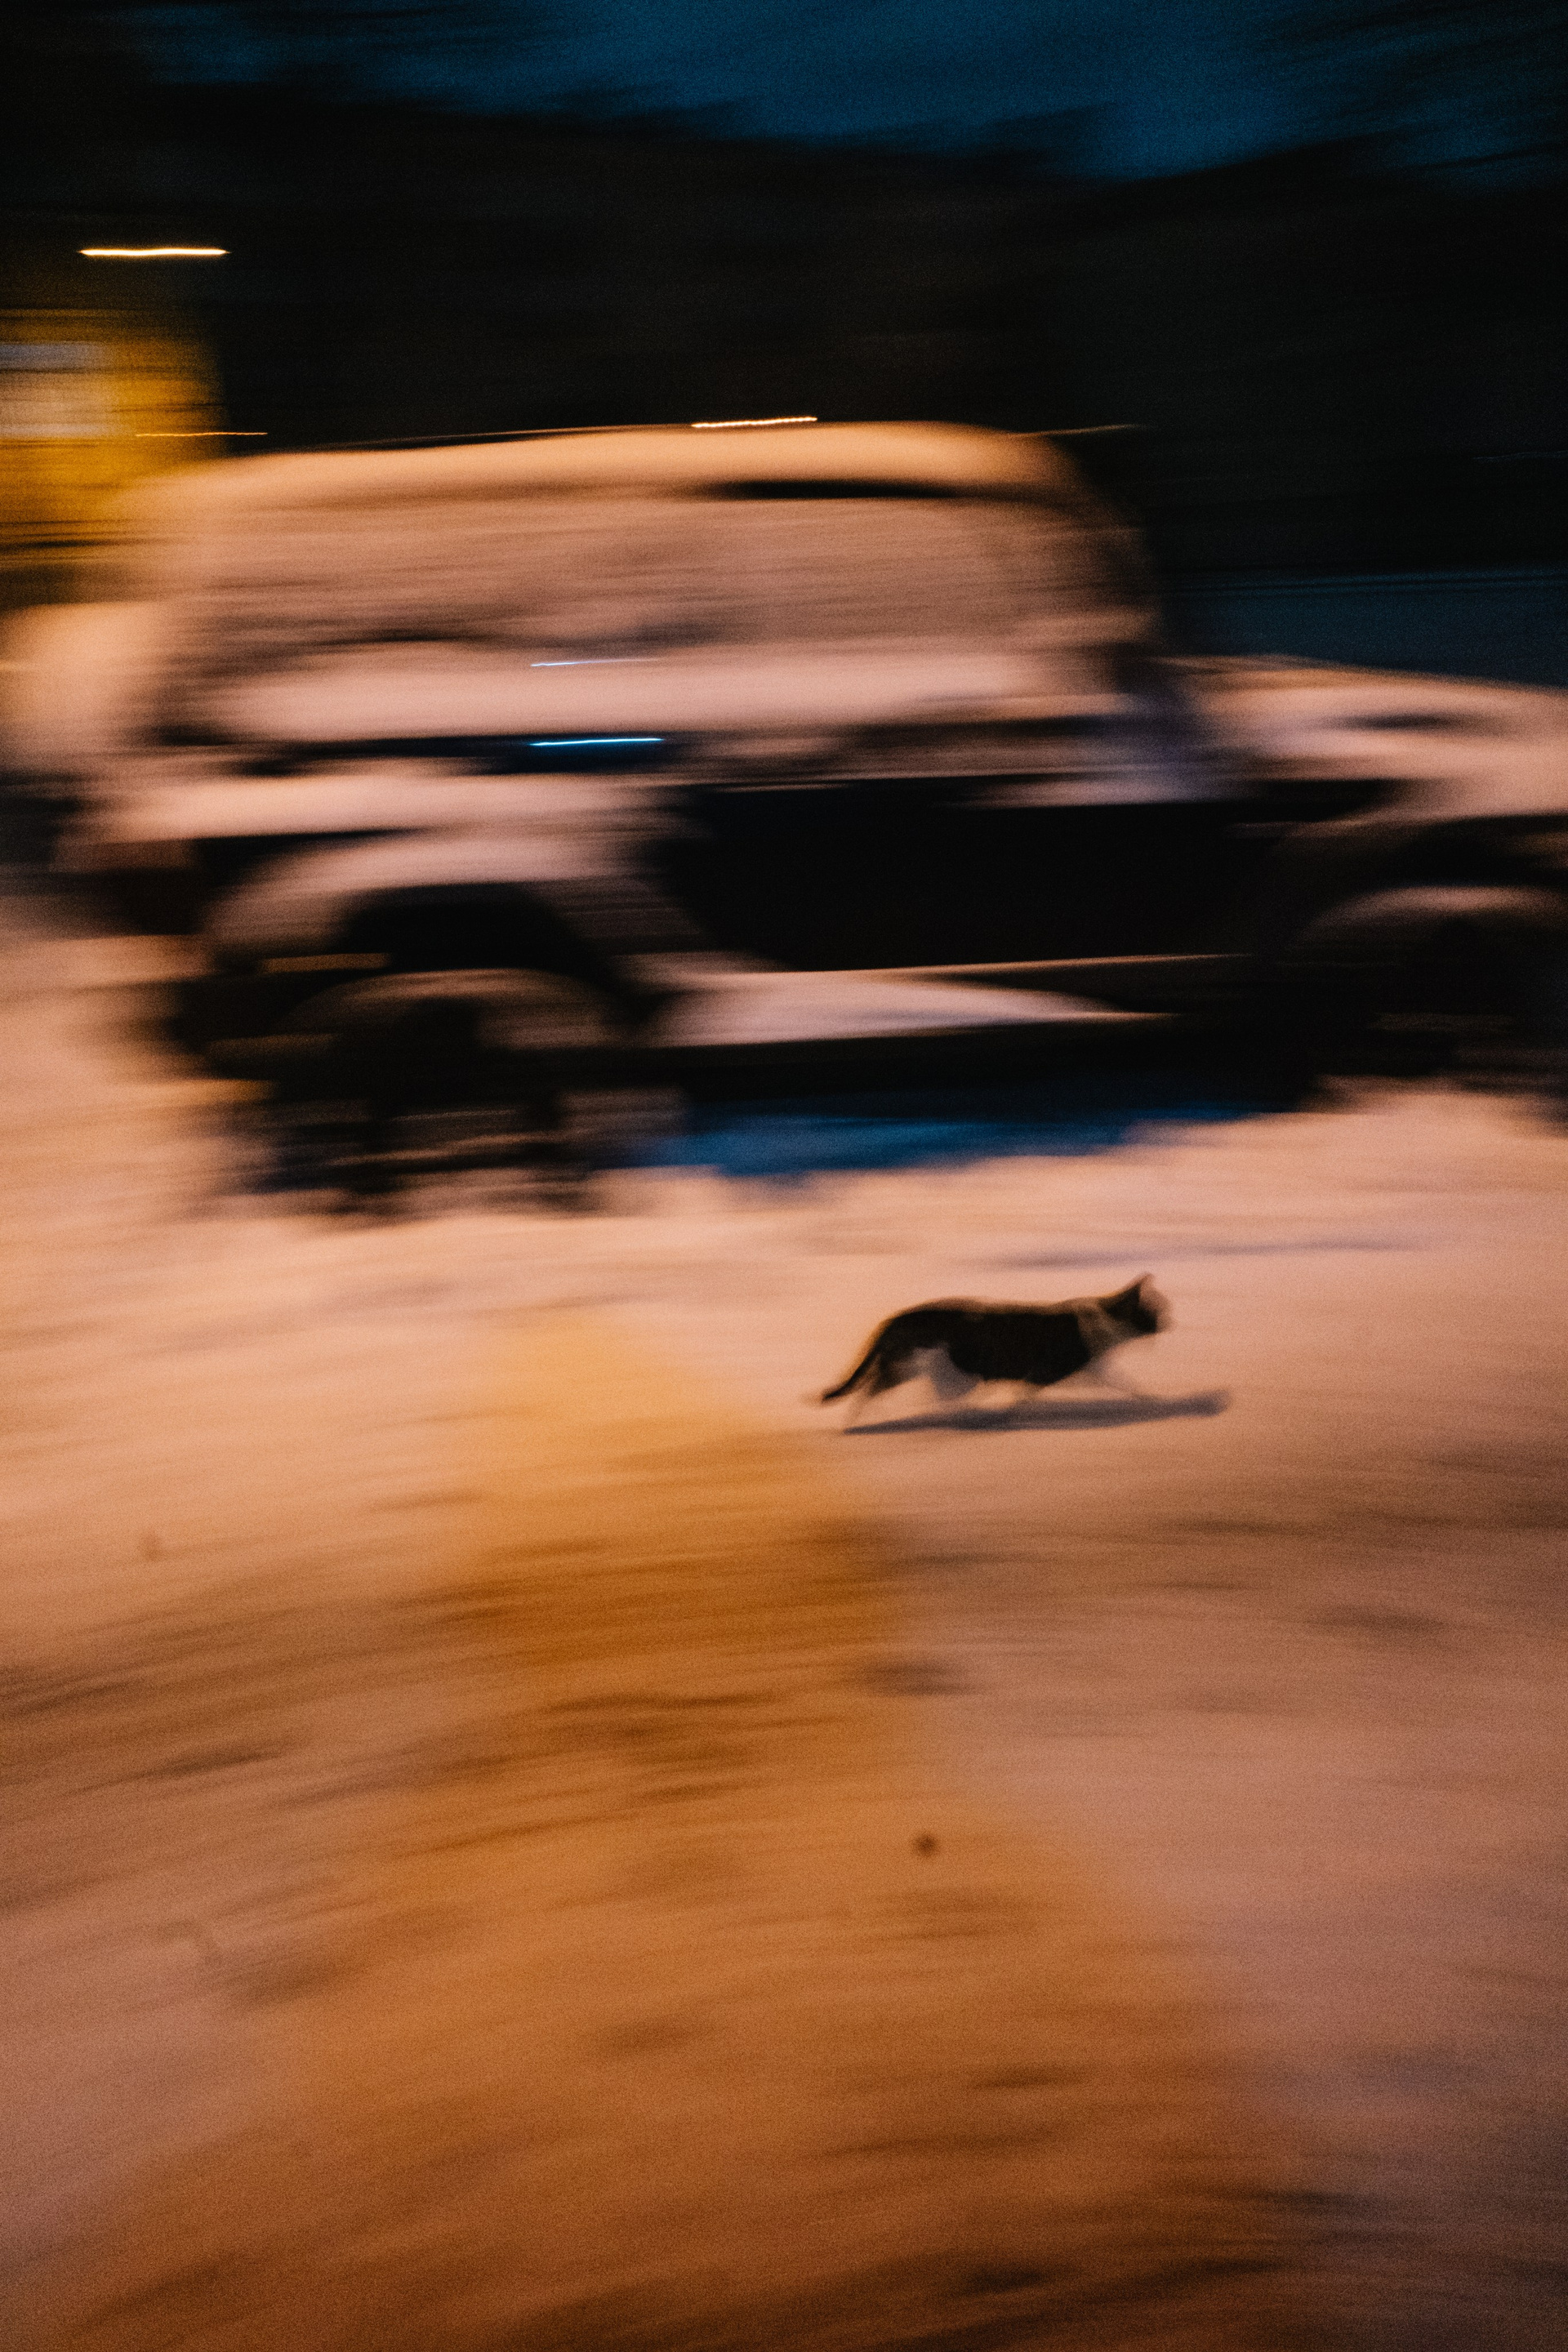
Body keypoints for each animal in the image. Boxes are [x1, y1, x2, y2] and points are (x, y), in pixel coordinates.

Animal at [819, 1276, 1168, 1423]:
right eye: (1156, 1312)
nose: (1170, 1322)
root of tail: (895, 1317)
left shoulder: (1090, 1369)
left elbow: (1122, 1381)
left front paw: (1148, 1398)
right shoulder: (1049, 1370)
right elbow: (1022, 1395)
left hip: (910, 1368)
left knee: (876, 1386)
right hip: (932, 1368)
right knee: (885, 1389)